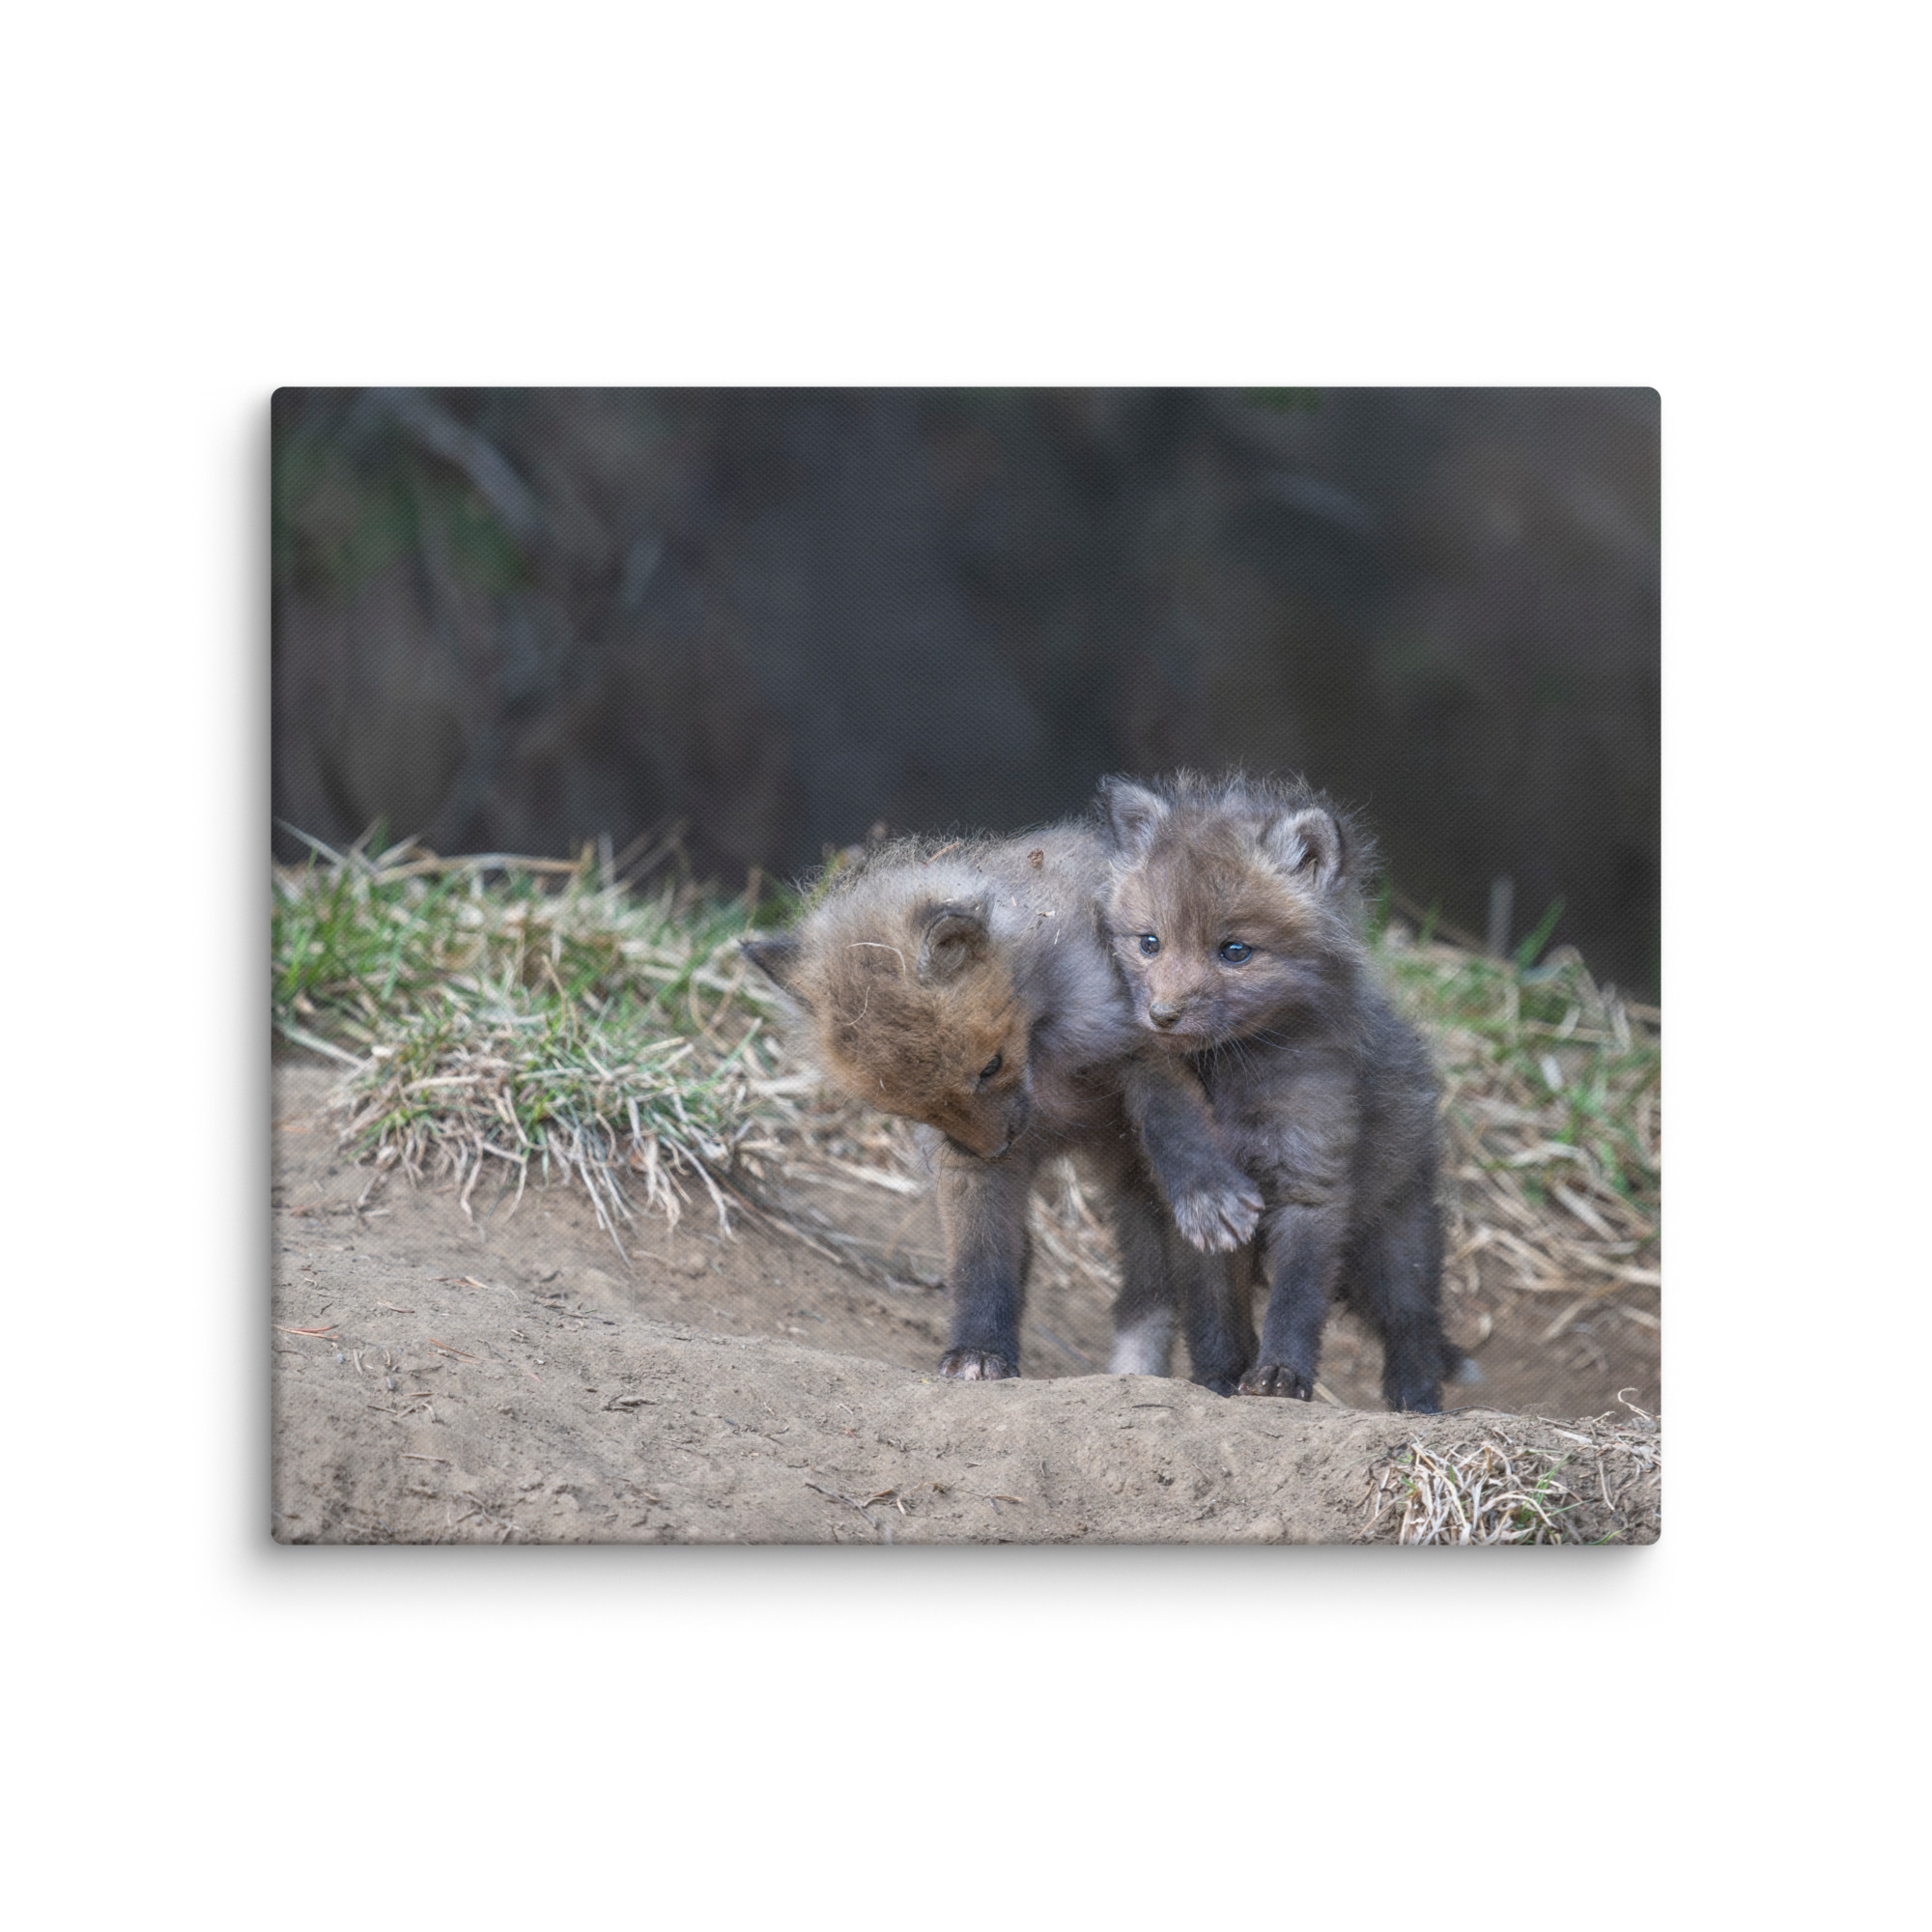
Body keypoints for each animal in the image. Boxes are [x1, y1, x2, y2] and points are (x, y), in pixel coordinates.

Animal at [741, 824, 1263, 1389]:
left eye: (990, 1067)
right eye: (914, 1109)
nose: (995, 1148)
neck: (1046, 1061)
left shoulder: (1144, 1043)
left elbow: (1175, 1126)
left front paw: (1206, 1193)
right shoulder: (963, 1163)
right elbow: (981, 1260)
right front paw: (979, 1350)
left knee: (1203, 1292)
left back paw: (1223, 1377)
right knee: (1142, 1291)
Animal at [1097, 771, 1462, 1413]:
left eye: (1235, 951)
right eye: (1149, 943)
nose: (1161, 1016)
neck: (1233, 1079)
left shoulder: (1311, 1182)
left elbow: (1296, 1300)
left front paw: (1280, 1378)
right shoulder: (1198, 1216)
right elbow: (1214, 1313)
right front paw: (1218, 1381)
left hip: (1397, 1242)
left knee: (1414, 1325)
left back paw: (1418, 1406)